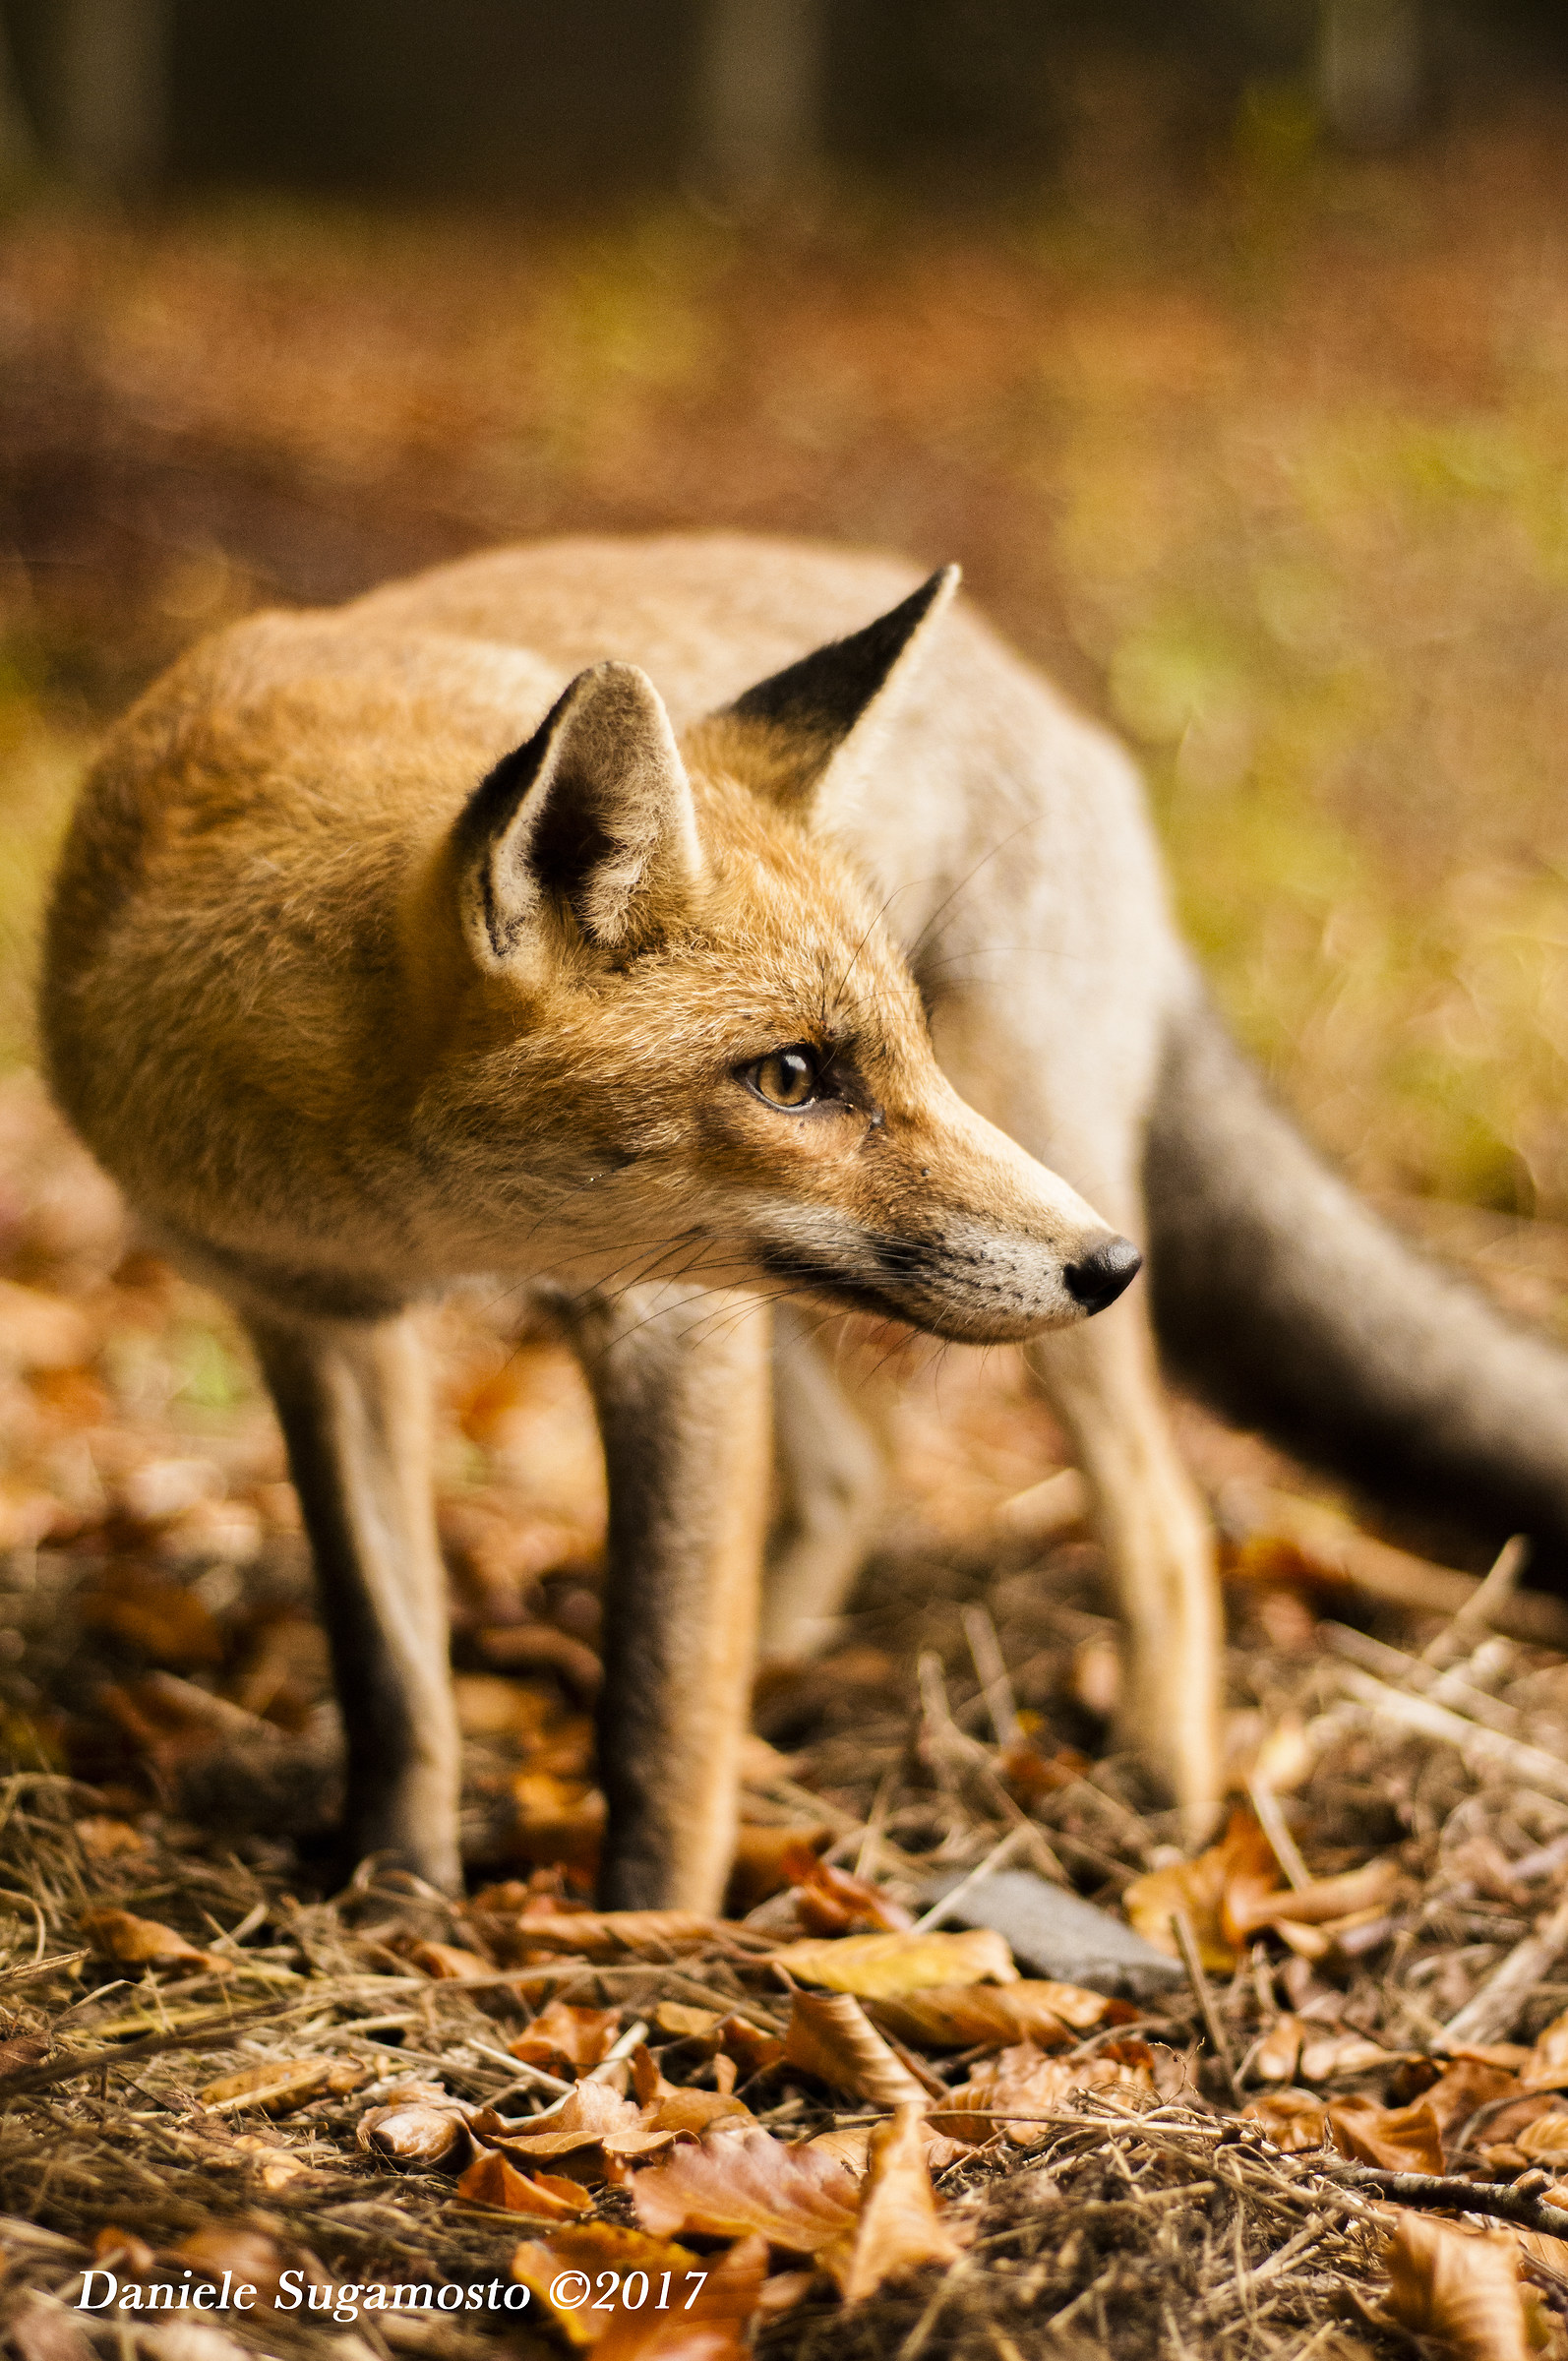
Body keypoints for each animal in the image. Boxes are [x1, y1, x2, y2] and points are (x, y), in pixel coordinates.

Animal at [40, 532, 1568, 1909]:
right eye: (792, 1078)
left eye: (902, 1051)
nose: (1113, 1266)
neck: (413, 1222)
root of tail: (1058, 704)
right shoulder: (311, 1321)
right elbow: (393, 1671)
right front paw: (394, 1893)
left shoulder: (658, 1319)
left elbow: (659, 1695)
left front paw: (643, 1924)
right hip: (805, 1297)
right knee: (846, 1477)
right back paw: (777, 1681)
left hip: (1021, 1199)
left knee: (1162, 1512)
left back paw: (1160, 1786)